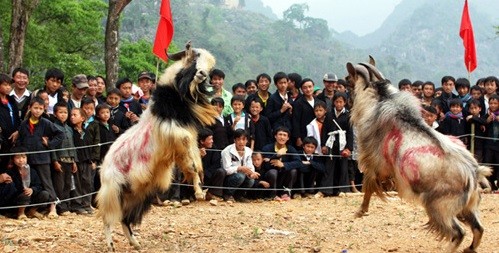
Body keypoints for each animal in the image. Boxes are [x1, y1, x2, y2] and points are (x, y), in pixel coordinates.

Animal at [97, 41, 219, 251]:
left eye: (210, 67)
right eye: (193, 57)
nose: (202, 74)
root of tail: (103, 167)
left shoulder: (184, 141)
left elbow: (194, 163)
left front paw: (199, 191)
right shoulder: (175, 134)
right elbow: (193, 164)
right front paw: (198, 192)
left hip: (137, 193)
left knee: (124, 218)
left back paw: (135, 243)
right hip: (112, 191)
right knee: (108, 218)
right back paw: (111, 245)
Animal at [348, 56, 492, 252]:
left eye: (349, 78)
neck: (380, 100)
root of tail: (474, 173)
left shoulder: (376, 165)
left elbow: (368, 187)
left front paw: (360, 211)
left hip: (439, 207)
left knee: (458, 232)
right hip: (468, 206)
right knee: (478, 228)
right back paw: (469, 248)